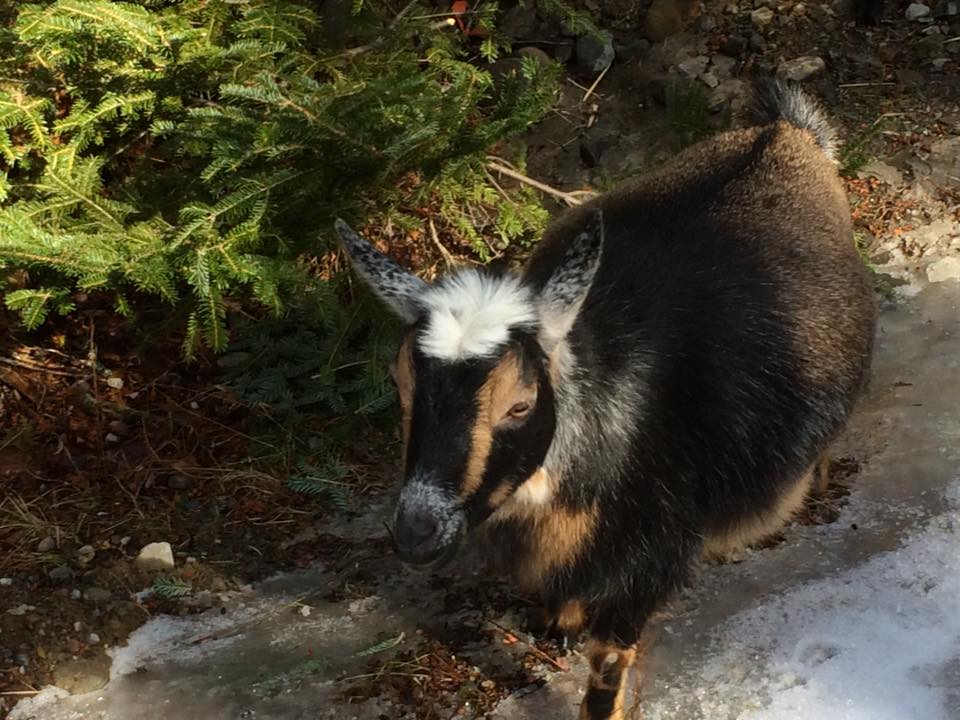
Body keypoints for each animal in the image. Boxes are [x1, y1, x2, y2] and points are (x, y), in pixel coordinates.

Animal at [334, 80, 877, 720]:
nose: (417, 532)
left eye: (520, 404)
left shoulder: (653, 556)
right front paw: (558, 624)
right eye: (400, 385)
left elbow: (609, 665)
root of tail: (788, 134)